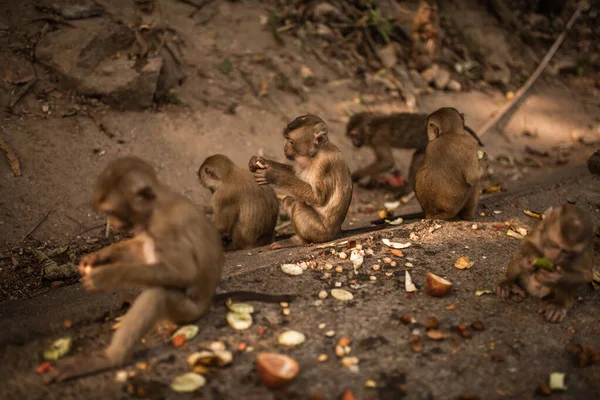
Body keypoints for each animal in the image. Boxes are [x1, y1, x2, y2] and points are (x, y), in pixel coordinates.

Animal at [43, 157, 292, 384]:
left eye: (112, 210)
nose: (112, 223)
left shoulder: (203, 206)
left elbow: (187, 268)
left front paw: (107, 276)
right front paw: (100, 258)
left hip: (185, 310)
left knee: (160, 294)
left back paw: (110, 358)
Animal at [247, 114, 352, 248]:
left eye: (291, 141)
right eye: (286, 139)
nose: (285, 148)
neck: (316, 153)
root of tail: (338, 232)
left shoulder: (324, 163)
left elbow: (317, 197)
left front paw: (273, 176)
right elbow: (295, 173)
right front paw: (260, 161)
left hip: (320, 232)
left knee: (298, 206)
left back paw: (297, 241)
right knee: (288, 201)